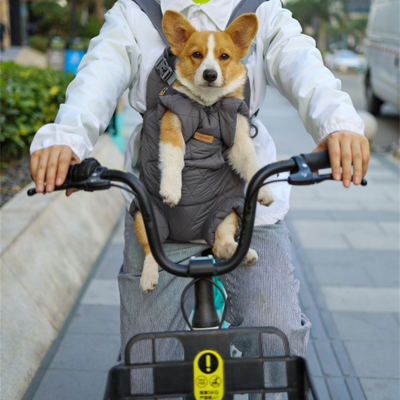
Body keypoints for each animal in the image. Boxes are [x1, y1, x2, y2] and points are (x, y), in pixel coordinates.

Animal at [133, 9, 274, 290]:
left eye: (224, 56)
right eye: (197, 54)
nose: (210, 74)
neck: (207, 107)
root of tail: (192, 238)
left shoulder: (238, 137)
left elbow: (251, 163)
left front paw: (264, 191)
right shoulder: (172, 127)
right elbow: (175, 159)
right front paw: (172, 191)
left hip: (227, 212)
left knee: (220, 245)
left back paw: (243, 253)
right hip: (145, 216)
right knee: (151, 250)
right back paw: (149, 275)